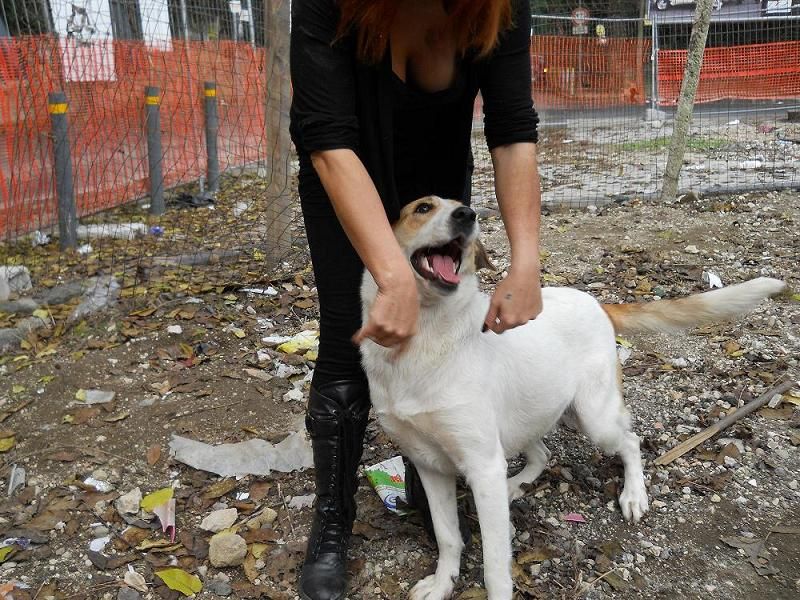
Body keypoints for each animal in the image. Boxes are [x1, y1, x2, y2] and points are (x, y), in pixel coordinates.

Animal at [360, 197, 784, 600]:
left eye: (461, 208)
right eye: (423, 208)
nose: (467, 214)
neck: (423, 339)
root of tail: (597, 303)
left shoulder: (481, 465)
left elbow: (495, 567)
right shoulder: (429, 465)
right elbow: (448, 536)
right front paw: (441, 584)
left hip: (593, 417)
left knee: (630, 441)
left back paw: (633, 495)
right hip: (533, 410)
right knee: (543, 453)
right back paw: (516, 485)